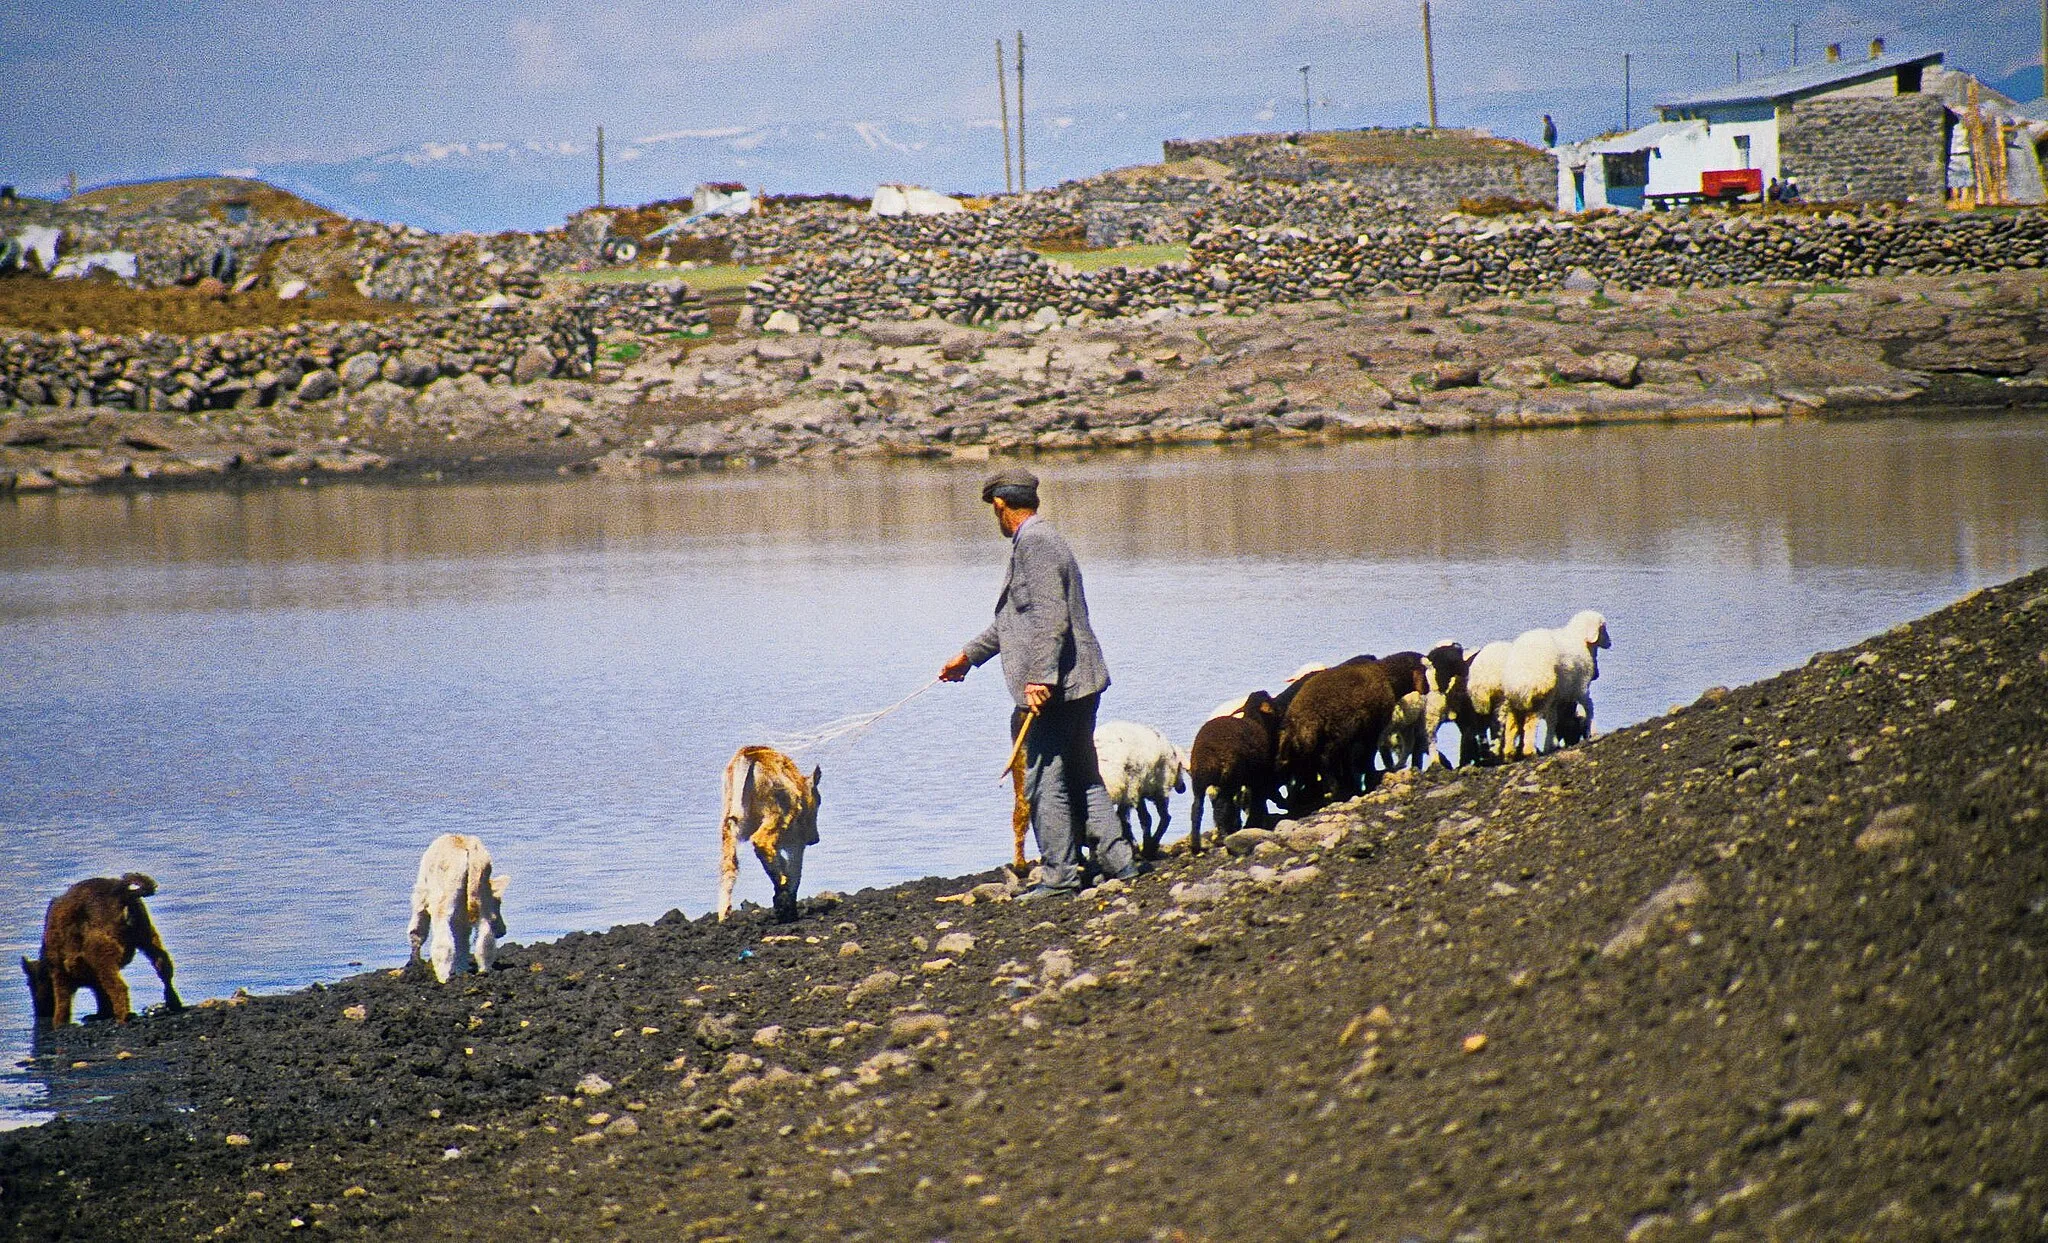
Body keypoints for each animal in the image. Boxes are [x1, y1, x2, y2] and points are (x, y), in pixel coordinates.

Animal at [22, 872, 184, 1027]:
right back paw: (173, 1004)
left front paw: (60, 1023)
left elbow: (64, 1001)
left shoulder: (60, 972)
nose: (40, 1012)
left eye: (30, 983)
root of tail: (121, 892)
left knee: (119, 988)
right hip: (147, 938)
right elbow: (101, 993)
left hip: (102, 954)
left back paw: (122, 1018)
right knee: (164, 969)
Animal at [405, 835, 505, 982]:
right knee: (484, 935)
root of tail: (466, 845)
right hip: (481, 891)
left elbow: (416, 929)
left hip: (445, 895)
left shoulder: (422, 895)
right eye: (498, 904)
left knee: (443, 941)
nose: (503, 931)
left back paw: (443, 977)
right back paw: (483, 971)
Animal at [716, 749, 819, 925]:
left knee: (729, 864)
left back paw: (724, 915)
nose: (815, 839)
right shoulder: (796, 841)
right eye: (819, 801)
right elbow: (795, 870)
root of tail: (748, 756)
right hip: (776, 815)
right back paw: (781, 884)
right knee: (760, 842)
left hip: (730, 823)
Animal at [1097, 720, 1196, 855]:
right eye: (1181, 766)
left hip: (1151, 787)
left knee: (1162, 817)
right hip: (1143, 787)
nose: (1182, 789)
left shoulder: (1133, 790)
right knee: (1150, 818)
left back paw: (1149, 847)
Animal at [1187, 692, 1277, 855]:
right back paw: (1224, 834)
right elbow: (1256, 799)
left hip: (1199, 782)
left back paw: (1196, 845)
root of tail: (1207, 756)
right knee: (1222, 806)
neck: (1255, 720)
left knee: (1197, 809)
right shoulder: (1257, 776)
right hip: (1228, 777)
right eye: (1268, 699)